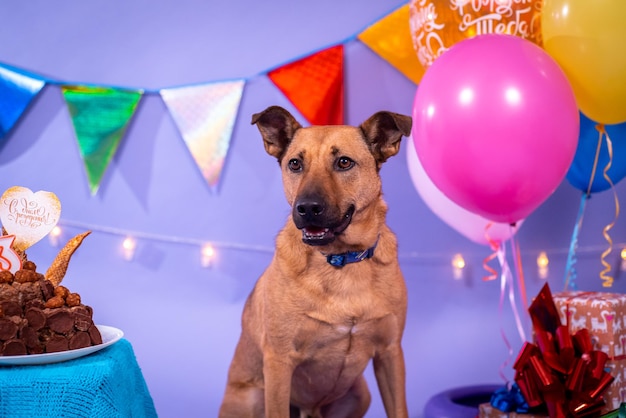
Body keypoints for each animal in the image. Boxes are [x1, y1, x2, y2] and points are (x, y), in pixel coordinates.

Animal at [217, 106, 412, 416]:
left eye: (344, 162)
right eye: (295, 164)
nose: (307, 208)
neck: (341, 261)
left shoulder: (390, 353)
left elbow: (399, 409)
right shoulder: (279, 362)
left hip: (360, 394)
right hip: (255, 397)